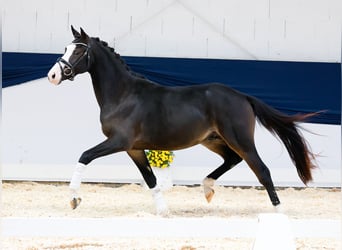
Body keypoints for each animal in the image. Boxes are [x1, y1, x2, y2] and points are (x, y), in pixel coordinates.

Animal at [46, 26, 316, 215]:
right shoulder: (133, 148)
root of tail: (243, 97)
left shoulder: (119, 141)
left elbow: (84, 156)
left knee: (262, 170)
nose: (53, 75)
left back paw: (278, 211)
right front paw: (163, 211)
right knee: (232, 159)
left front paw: (74, 199)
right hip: (213, 140)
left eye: (78, 50)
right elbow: (150, 179)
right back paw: (207, 189)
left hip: (240, 140)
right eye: (66, 49)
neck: (124, 95)